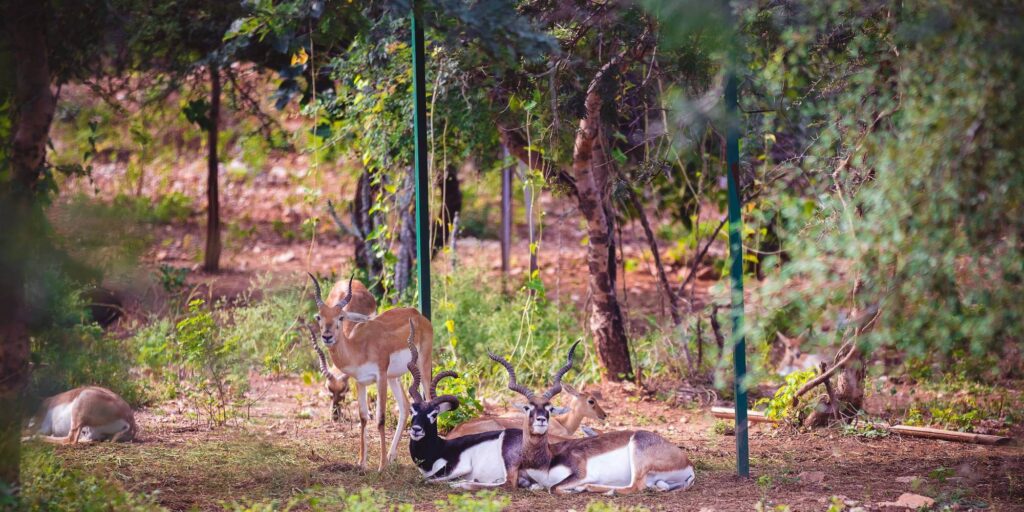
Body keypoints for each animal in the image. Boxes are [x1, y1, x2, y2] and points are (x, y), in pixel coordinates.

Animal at [487, 342, 696, 493]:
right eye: (527, 407)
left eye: (550, 408)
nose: (541, 420)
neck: (545, 461)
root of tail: (687, 461)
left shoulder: (580, 472)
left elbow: (554, 488)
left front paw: (576, 489)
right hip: (658, 480)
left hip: (638, 456)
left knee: (634, 487)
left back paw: (592, 488)